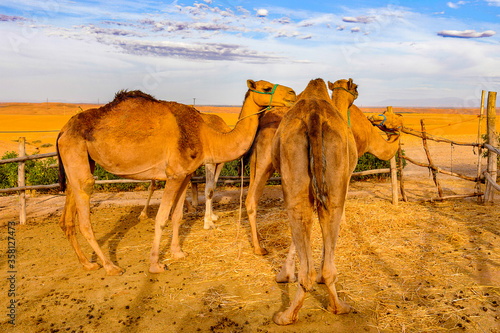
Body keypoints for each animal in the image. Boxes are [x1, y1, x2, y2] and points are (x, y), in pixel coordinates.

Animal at [57, 81, 296, 274]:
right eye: (266, 87)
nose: (292, 93)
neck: (207, 136)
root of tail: (62, 131)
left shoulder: (185, 174)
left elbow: (177, 216)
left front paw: (178, 253)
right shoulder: (173, 174)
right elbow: (162, 218)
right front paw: (155, 265)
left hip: (80, 159)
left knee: (67, 215)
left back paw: (87, 263)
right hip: (76, 155)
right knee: (85, 210)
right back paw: (110, 266)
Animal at [244, 80, 404, 254]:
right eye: (393, 117)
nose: (377, 117)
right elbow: (342, 196)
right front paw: (343, 223)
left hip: (261, 162)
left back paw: (260, 243)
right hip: (268, 162)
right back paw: (260, 248)